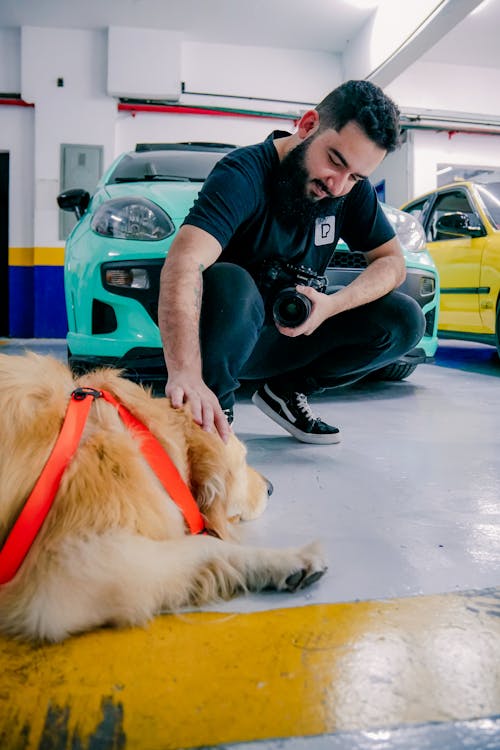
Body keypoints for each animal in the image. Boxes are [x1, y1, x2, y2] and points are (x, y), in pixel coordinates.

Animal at [0, 356, 328, 644]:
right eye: (244, 460)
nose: (271, 488)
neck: (148, 441)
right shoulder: (76, 565)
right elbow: (205, 545)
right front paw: (289, 559)